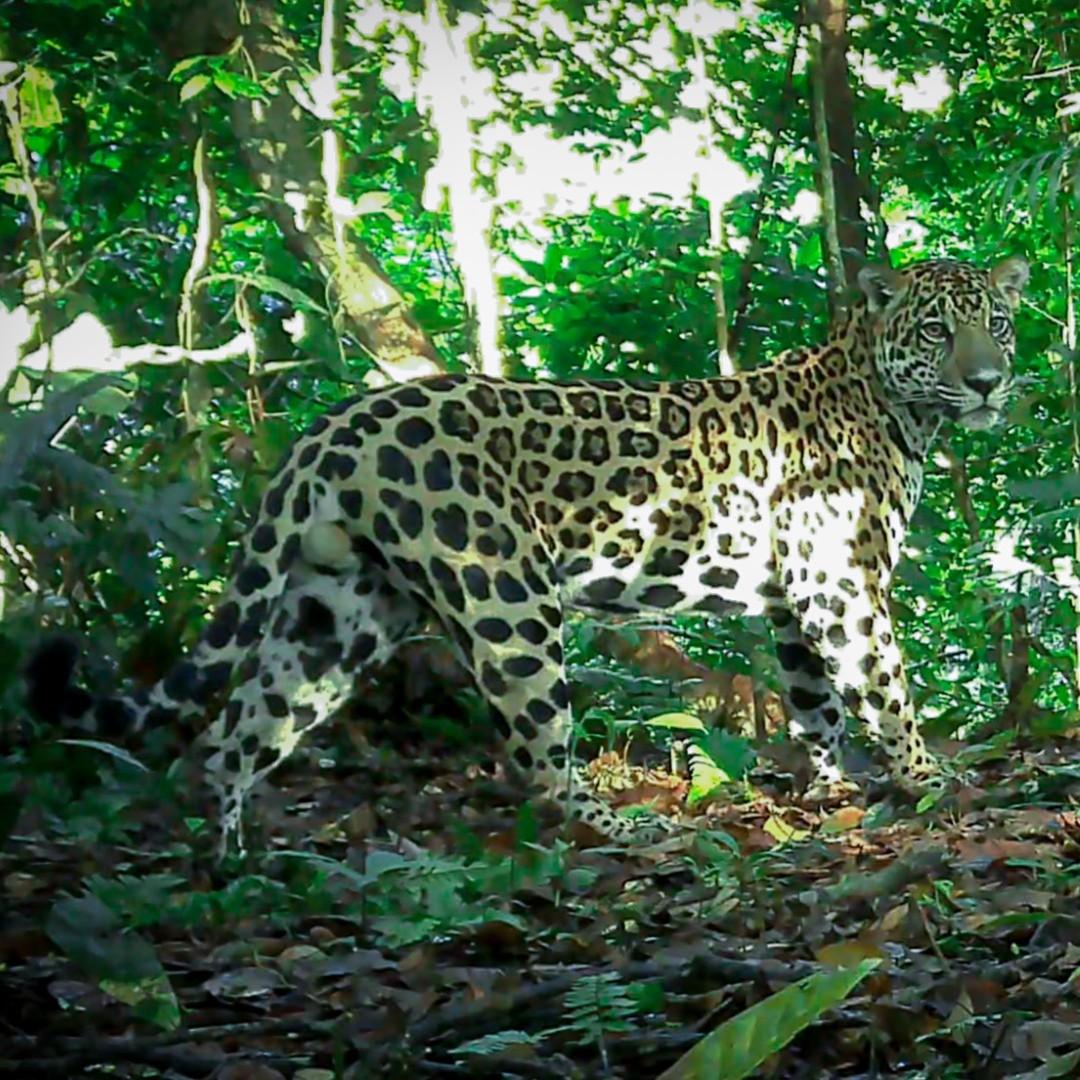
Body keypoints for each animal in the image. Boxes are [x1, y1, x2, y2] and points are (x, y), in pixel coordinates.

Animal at [27, 255, 1029, 854]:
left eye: (999, 323)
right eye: (937, 331)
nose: (990, 381)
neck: (894, 404)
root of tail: (334, 430)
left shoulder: (797, 596)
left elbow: (816, 702)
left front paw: (829, 790)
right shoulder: (840, 583)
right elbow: (883, 686)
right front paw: (928, 779)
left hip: (338, 614)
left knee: (236, 733)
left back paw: (232, 866)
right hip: (505, 598)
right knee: (537, 759)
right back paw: (625, 829)